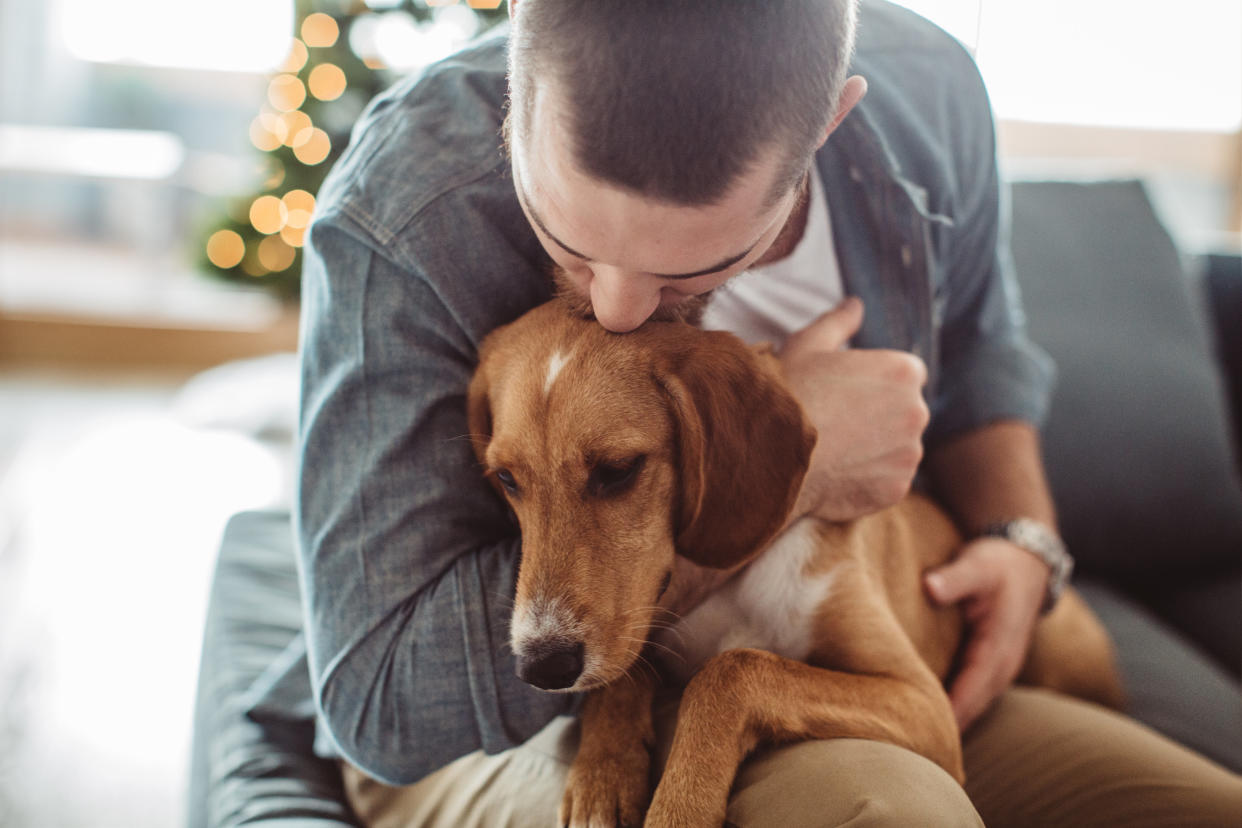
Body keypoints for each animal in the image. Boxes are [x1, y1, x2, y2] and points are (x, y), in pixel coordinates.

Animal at [466, 299, 1127, 828]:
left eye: (618, 470)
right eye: (505, 479)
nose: (540, 667)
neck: (735, 584)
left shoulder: (924, 702)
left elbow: (733, 670)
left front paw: (680, 806)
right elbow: (628, 671)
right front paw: (603, 773)